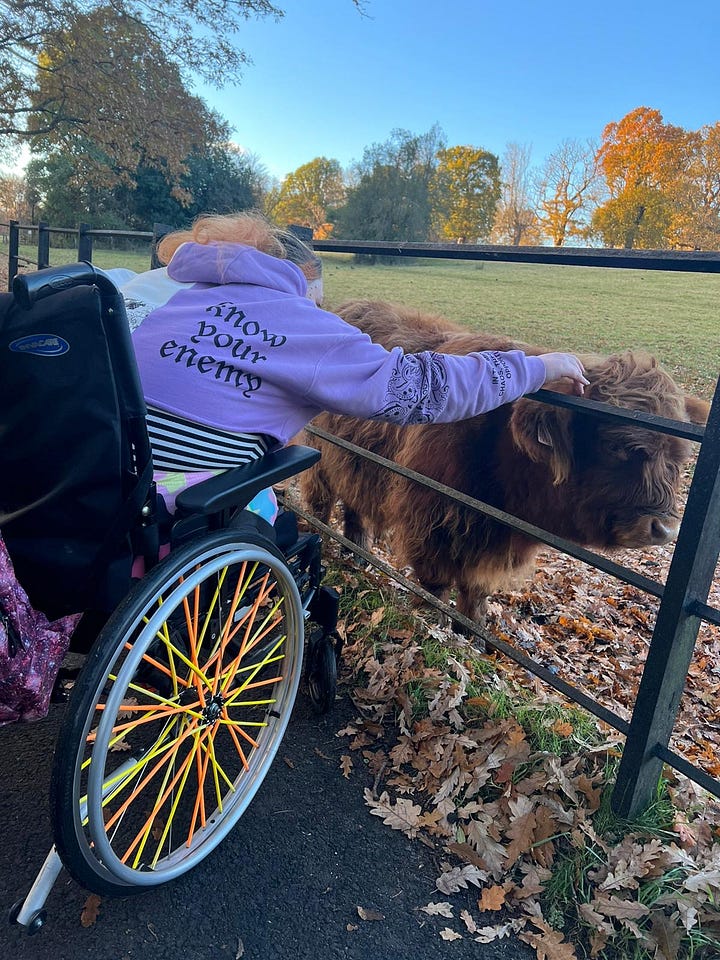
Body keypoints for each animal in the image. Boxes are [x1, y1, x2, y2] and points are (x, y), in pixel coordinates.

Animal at [299, 299, 709, 625]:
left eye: (678, 458)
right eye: (617, 447)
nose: (664, 528)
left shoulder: (494, 543)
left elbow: (475, 593)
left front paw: (472, 633)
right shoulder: (431, 521)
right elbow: (437, 584)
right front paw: (434, 623)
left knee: (356, 505)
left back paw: (358, 555)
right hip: (321, 461)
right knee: (321, 501)